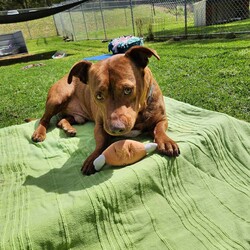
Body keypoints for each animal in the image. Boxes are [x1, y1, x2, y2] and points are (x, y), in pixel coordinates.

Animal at [31, 46, 180, 175]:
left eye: (128, 90)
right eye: (98, 95)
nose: (115, 128)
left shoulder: (162, 119)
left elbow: (158, 129)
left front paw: (166, 141)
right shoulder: (100, 126)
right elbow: (101, 143)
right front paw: (93, 157)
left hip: (77, 116)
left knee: (63, 119)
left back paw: (68, 128)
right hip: (57, 99)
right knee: (44, 119)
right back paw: (39, 133)